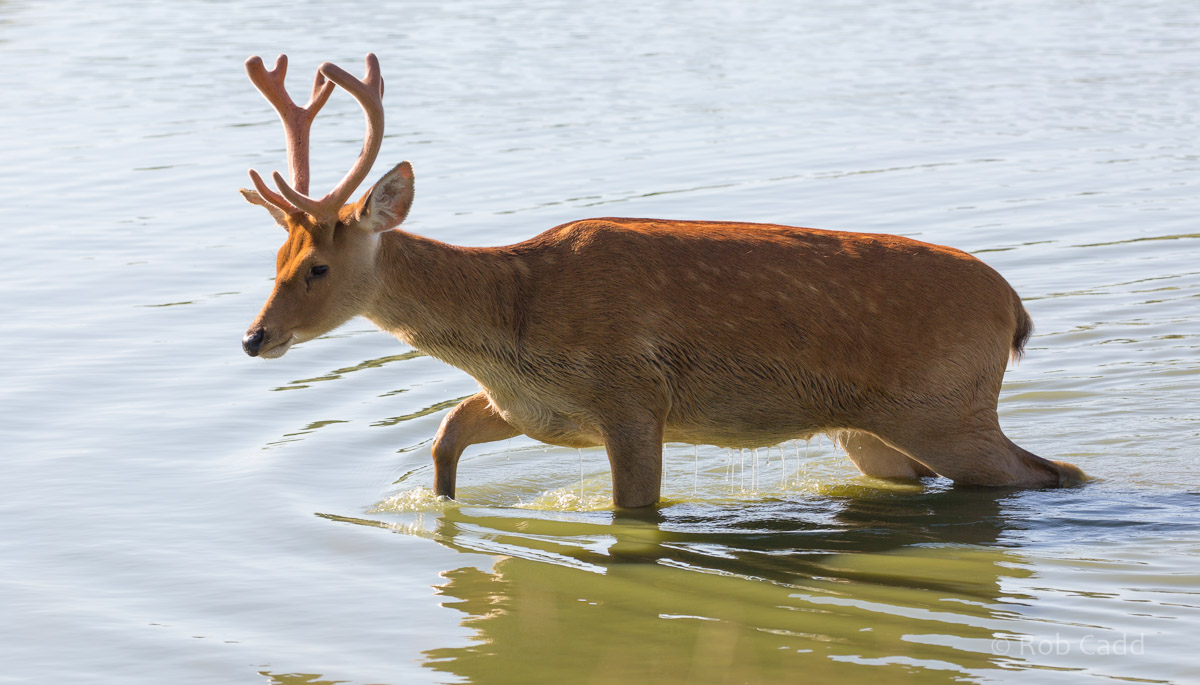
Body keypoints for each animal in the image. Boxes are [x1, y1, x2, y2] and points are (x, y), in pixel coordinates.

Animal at [239, 54, 1086, 508]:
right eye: (272, 260)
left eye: (317, 267)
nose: (254, 337)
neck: (513, 324)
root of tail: (1014, 309)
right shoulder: (534, 409)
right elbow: (447, 435)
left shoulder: (631, 395)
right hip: (873, 429)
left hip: (946, 406)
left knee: (1053, 471)